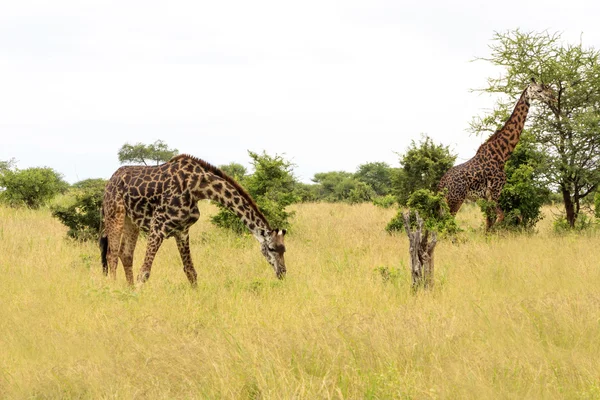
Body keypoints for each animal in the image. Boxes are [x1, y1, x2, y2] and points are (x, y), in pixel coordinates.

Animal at [99, 154, 288, 288]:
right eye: (271, 248)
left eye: (284, 249)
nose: (283, 273)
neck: (198, 187)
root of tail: (110, 180)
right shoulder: (158, 225)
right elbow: (145, 272)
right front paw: (136, 296)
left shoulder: (182, 230)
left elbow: (191, 272)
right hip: (115, 213)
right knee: (112, 254)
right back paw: (113, 289)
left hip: (131, 221)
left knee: (125, 254)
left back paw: (128, 288)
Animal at [436, 78, 556, 230]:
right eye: (539, 90)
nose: (552, 96)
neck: (502, 154)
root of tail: (441, 184)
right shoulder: (495, 191)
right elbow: (500, 218)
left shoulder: (487, 196)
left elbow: (490, 222)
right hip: (455, 199)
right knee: (447, 225)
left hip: (447, 202)